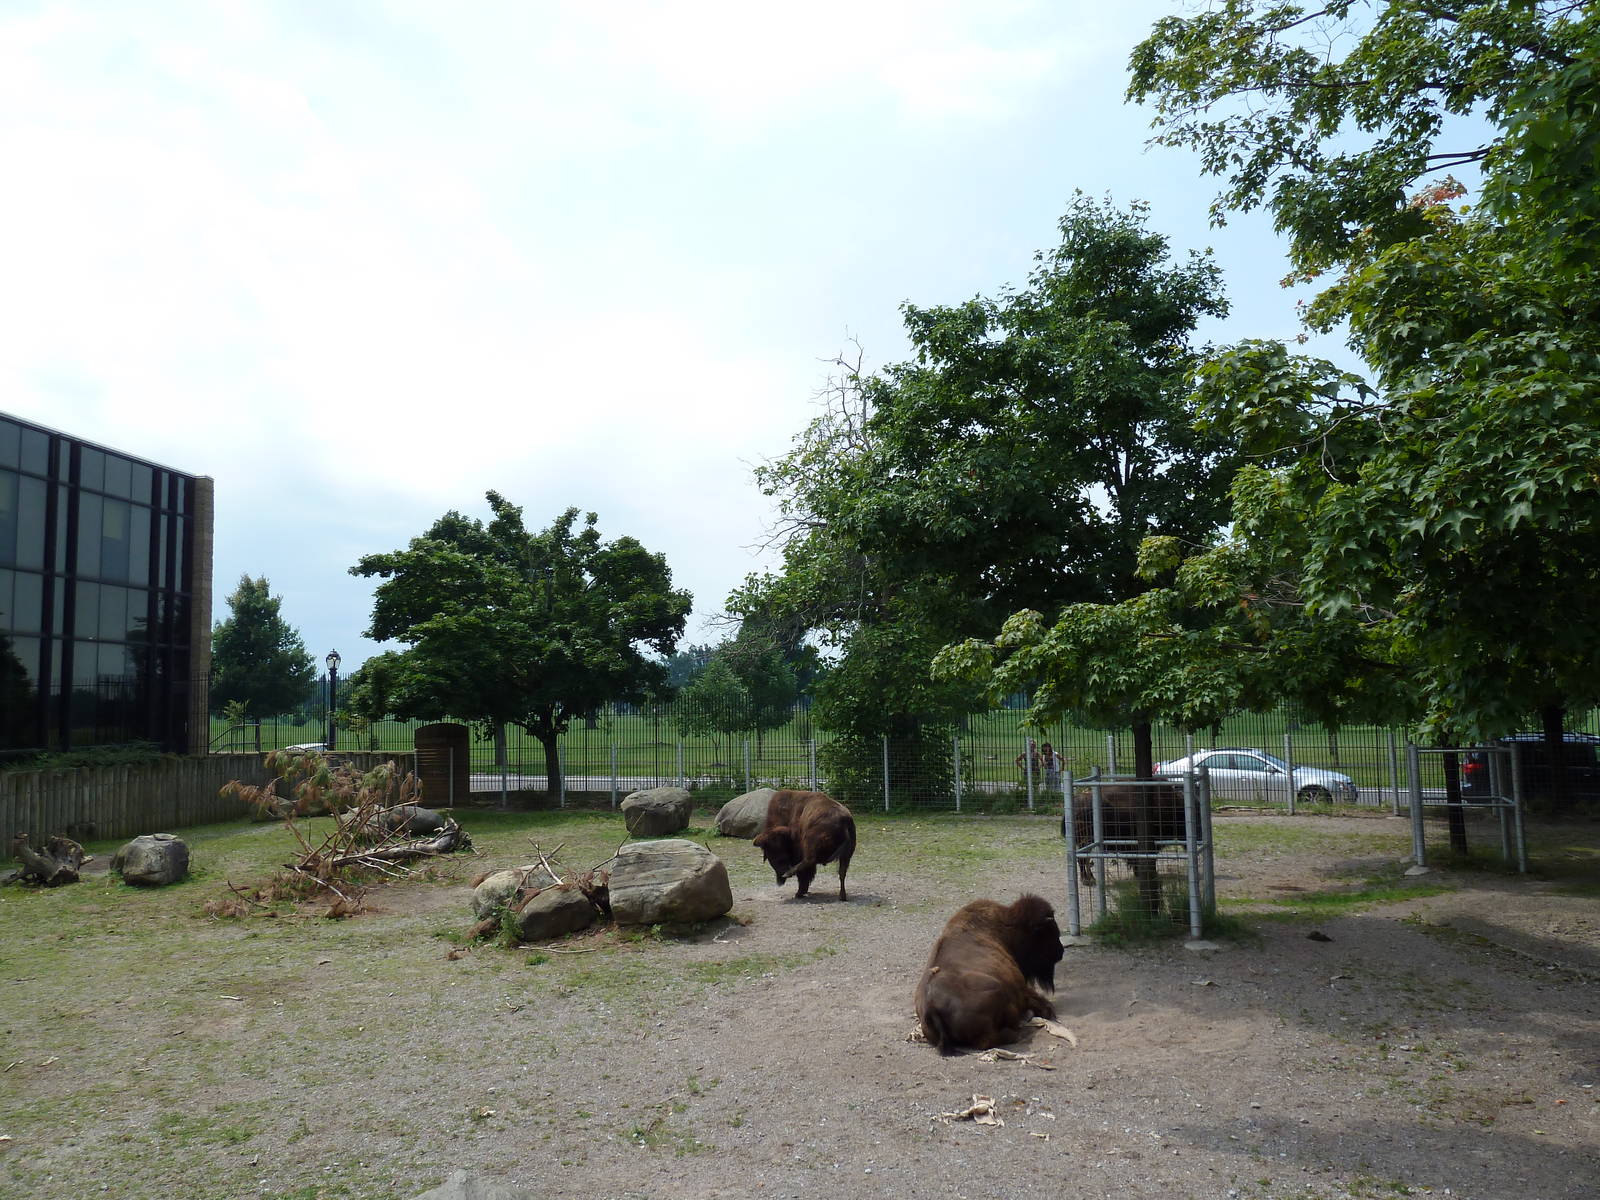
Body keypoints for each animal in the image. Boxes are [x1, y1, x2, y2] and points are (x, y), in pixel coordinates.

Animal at [914, 894, 1065, 1054]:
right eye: (1048, 932)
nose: (1060, 952)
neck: (1008, 926)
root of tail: (931, 1006)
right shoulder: (1020, 986)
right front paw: (1047, 1010)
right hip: (997, 991)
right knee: (989, 1040)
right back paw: (1017, 1032)